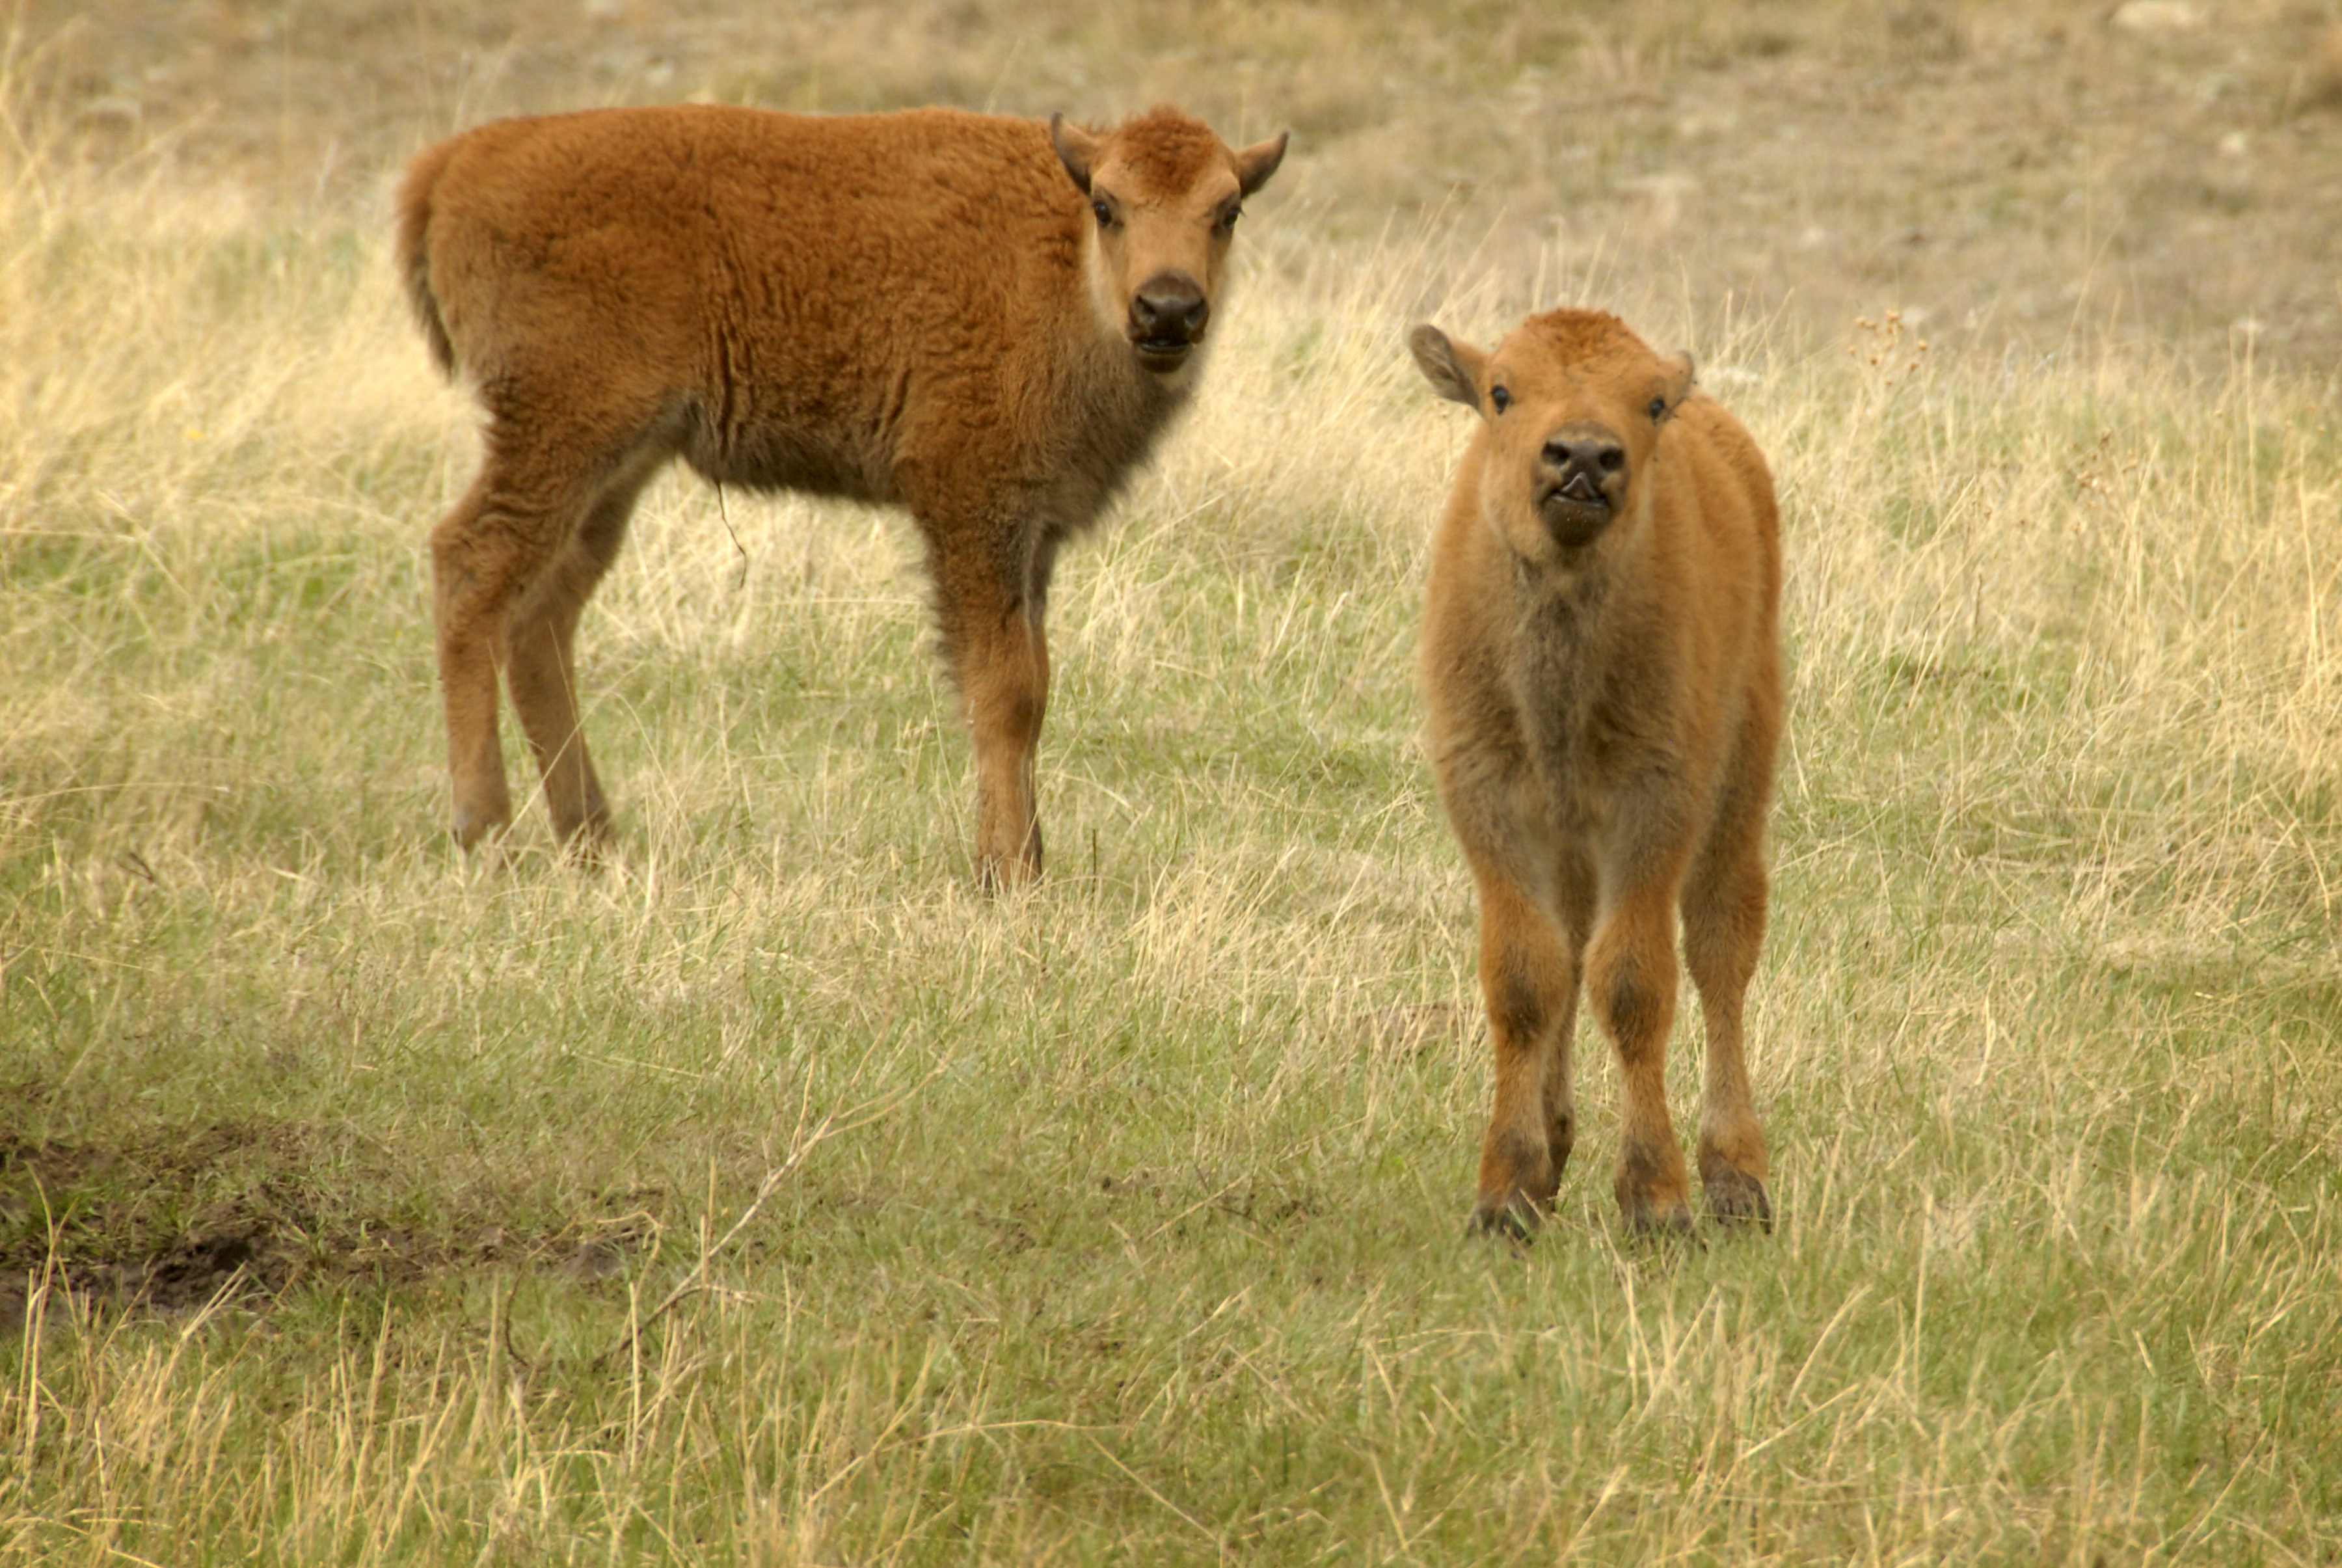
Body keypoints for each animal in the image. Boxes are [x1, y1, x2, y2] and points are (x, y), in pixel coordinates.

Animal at [396, 100, 1293, 881]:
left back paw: (594, 841)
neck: (1064, 269)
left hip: (614, 466)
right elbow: (1005, 690)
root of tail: (457, 160)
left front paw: (1031, 859)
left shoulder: (1032, 533)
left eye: (1228, 211)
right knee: (470, 565)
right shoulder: (971, 506)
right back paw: (488, 832)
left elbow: (1035, 683)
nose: (1169, 308)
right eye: (1107, 205)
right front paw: (1008, 874)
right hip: (561, 433)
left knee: (540, 618)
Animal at [1414, 304, 1780, 1237]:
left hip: (1740, 778)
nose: (1582, 457)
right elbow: (1526, 975)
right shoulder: (1491, 800)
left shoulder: (1655, 805)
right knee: (1572, 948)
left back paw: (1737, 1179)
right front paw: (1507, 1194)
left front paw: (1658, 1201)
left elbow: (1636, 982)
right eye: (1501, 391)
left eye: (1649, 404)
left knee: (1721, 947)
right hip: (1575, 839)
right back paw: (1554, 1148)